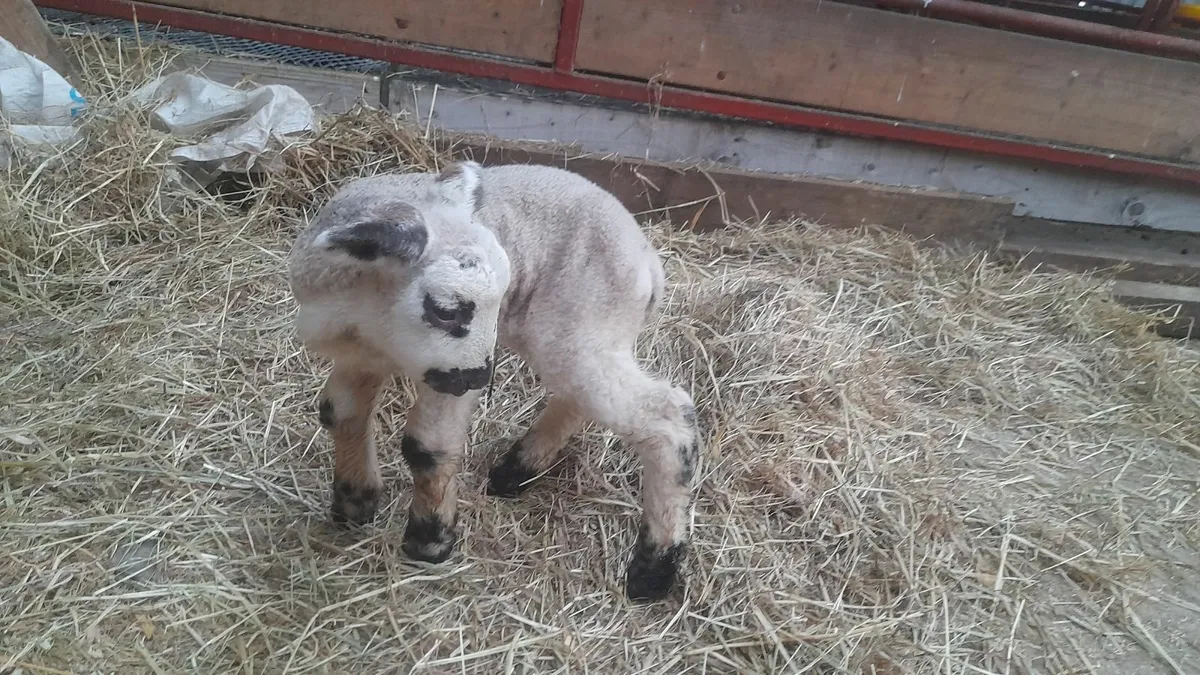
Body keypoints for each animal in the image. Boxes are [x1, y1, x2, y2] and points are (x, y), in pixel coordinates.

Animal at [287, 160, 699, 601]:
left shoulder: (445, 377)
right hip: (580, 339)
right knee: (579, 396)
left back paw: (653, 570)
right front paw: (354, 504)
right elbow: (340, 414)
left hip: (584, 324)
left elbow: (427, 448)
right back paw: (516, 469)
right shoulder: (361, 357)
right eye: (446, 310)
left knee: (667, 417)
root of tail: (648, 261)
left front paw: (430, 541)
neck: (368, 318)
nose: (482, 375)